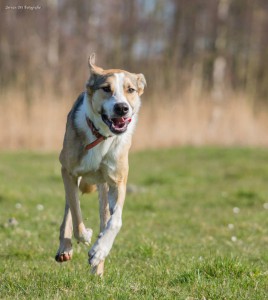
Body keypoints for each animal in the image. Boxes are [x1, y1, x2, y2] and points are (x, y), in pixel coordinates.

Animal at [55, 54, 147, 276]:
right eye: (106, 88)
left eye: (131, 90)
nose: (122, 107)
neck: (102, 136)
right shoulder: (69, 172)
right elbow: (76, 213)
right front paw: (85, 235)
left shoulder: (118, 181)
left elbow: (115, 221)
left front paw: (99, 251)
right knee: (69, 208)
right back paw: (65, 247)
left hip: (104, 187)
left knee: (104, 217)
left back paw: (97, 267)